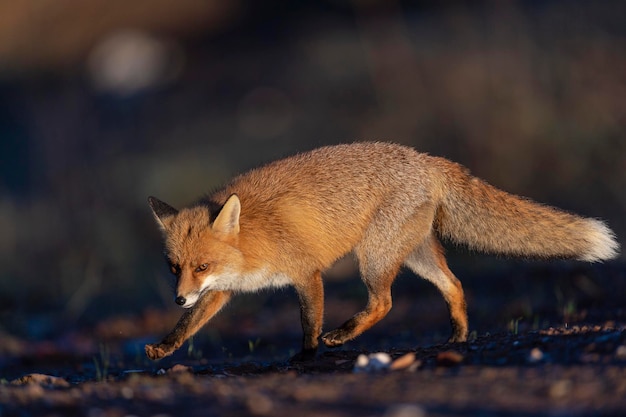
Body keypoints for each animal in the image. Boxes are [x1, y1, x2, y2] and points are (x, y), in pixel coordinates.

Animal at [144, 141, 616, 360]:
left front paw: (307, 354)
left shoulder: (305, 272)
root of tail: (427, 158)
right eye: (173, 268)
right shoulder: (220, 291)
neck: (251, 241)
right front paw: (165, 347)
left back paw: (344, 333)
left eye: (202, 264)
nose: (178, 297)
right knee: (454, 285)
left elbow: (309, 321)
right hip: (413, 254)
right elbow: (190, 326)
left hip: (373, 256)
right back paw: (459, 336)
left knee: (385, 302)